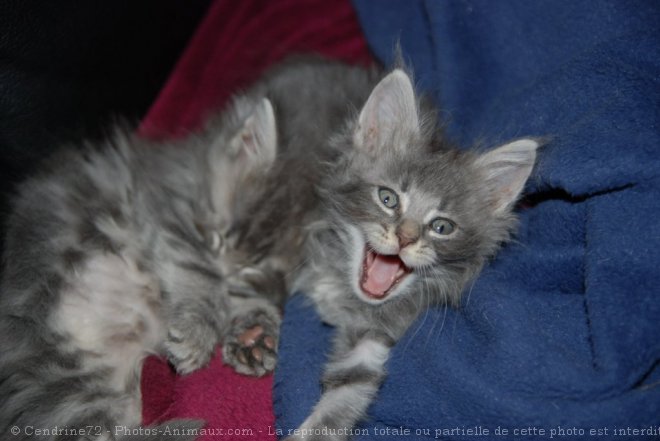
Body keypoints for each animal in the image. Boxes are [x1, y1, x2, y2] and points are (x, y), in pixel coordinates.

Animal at [282, 68, 540, 436]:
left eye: (442, 227)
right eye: (388, 198)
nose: (404, 239)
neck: (346, 287)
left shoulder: (376, 339)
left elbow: (344, 397)